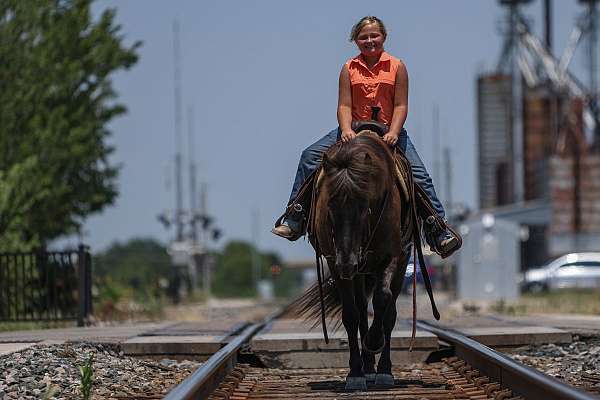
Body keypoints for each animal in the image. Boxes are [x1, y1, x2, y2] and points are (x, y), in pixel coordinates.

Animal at [296, 130, 418, 390]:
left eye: (365, 206)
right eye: (330, 205)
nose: (347, 263)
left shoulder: (393, 255)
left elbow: (383, 301)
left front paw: (374, 341)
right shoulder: (334, 260)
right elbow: (351, 315)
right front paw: (355, 373)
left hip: (398, 262)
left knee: (389, 313)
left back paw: (383, 371)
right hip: (360, 272)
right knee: (362, 309)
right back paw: (368, 369)